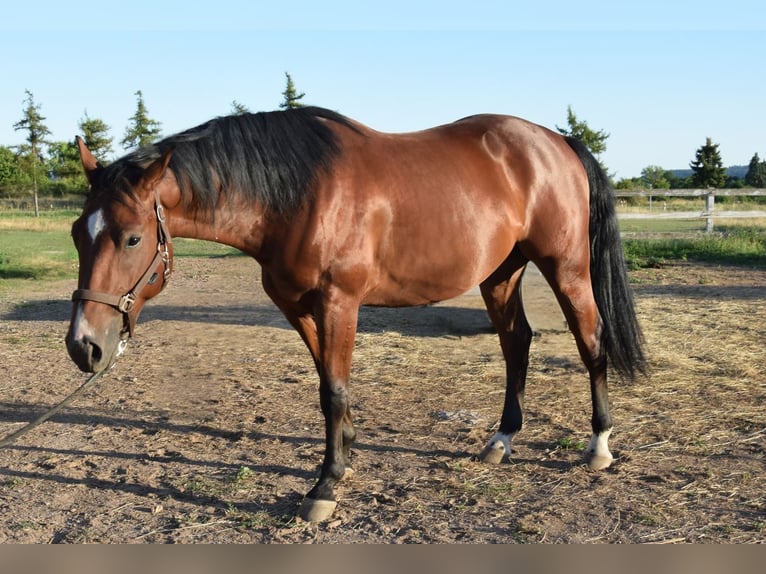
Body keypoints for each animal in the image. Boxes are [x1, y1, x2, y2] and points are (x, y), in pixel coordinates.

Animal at [66, 106, 646, 522]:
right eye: (77, 233)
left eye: (132, 238)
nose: (83, 345)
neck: (297, 194)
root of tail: (556, 141)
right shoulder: (297, 307)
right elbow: (328, 382)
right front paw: (344, 454)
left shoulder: (339, 302)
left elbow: (334, 390)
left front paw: (325, 485)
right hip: (502, 272)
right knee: (516, 342)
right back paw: (501, 440)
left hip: (566, 267)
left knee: (590, 340)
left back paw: (598, 445)